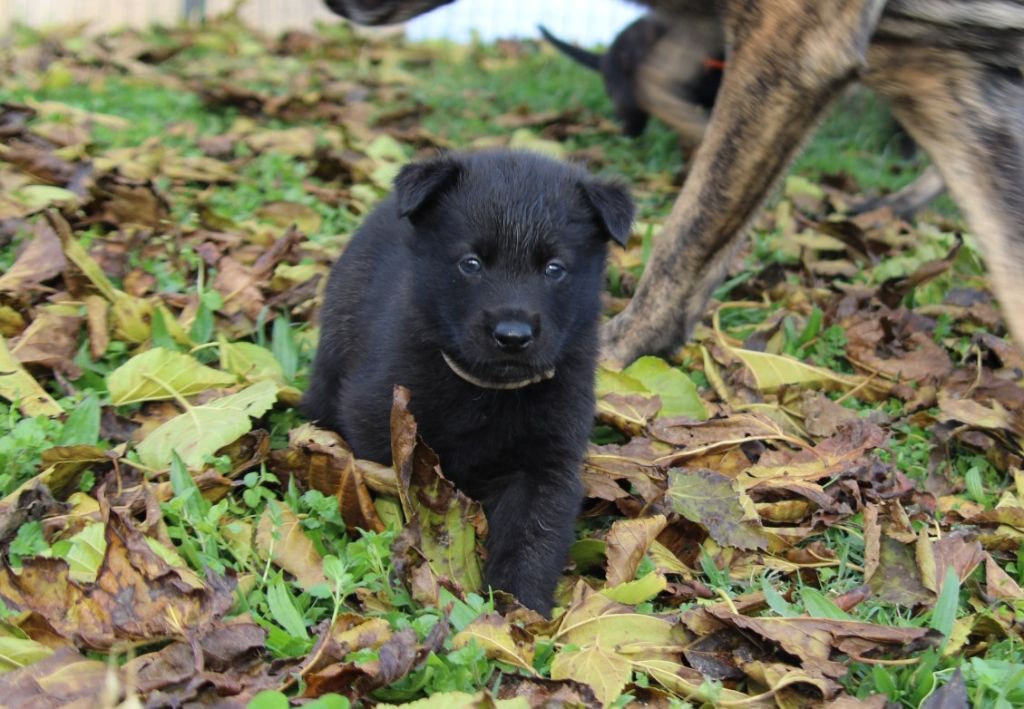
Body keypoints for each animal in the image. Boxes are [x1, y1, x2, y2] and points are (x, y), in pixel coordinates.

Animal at [301, 149, 630, 614]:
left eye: (554, 269)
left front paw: (518, 609)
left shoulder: (548, 461)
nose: (512, 335)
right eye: (470, 263)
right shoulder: (383, 428)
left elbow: (534, 536)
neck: (486, 392)